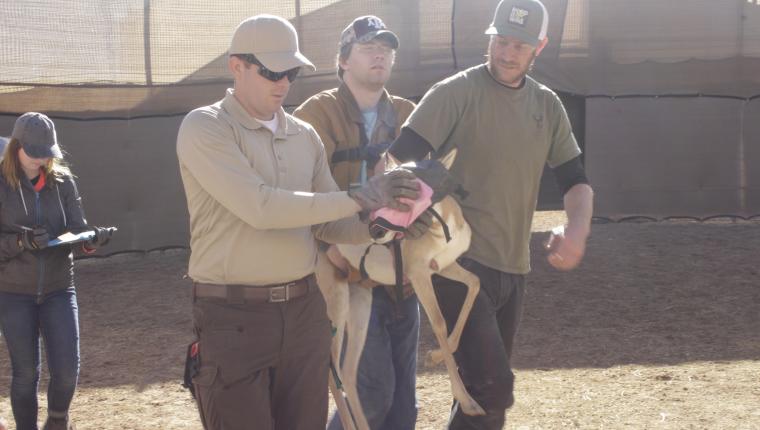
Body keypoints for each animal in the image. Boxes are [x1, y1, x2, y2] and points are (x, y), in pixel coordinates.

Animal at [316, 149, 484, 430]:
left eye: (415, 191)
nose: (376, 228)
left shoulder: (443, 266)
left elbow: (475, 283)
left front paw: (434, 356)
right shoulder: (419, 275)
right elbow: (439, 322)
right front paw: (469, 402)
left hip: (360, 304)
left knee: (348, 372)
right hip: (336, 304)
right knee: (331, 370)